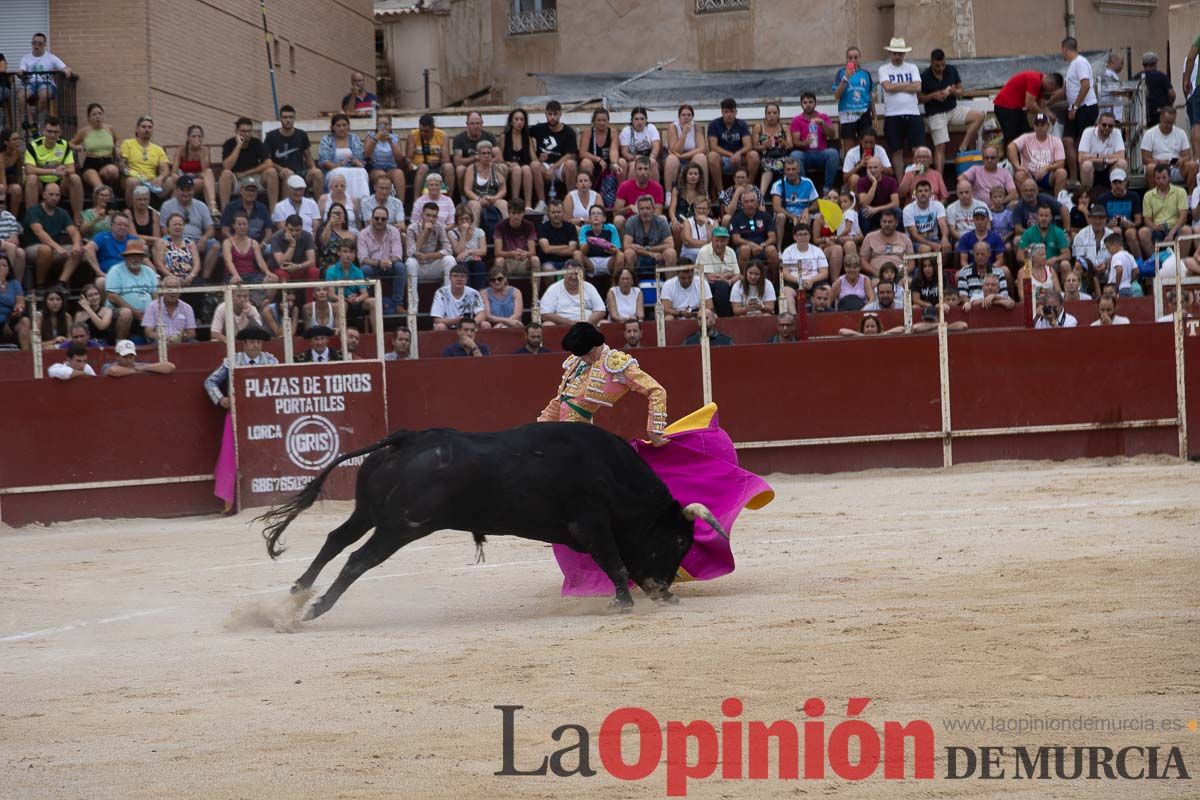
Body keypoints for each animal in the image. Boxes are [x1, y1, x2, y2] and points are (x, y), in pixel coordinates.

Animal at [258, 422, 724, 623]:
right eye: (677, 543)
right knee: (357, 559)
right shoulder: (589, 523)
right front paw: (623, 602)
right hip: (401, 527)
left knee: (335, 539)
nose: (665, 590)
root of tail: (408, 440)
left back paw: (297, 593)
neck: (613, 473)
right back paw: (314, 608)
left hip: (369, 513)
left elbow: (615, 561)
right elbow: (614, 561)